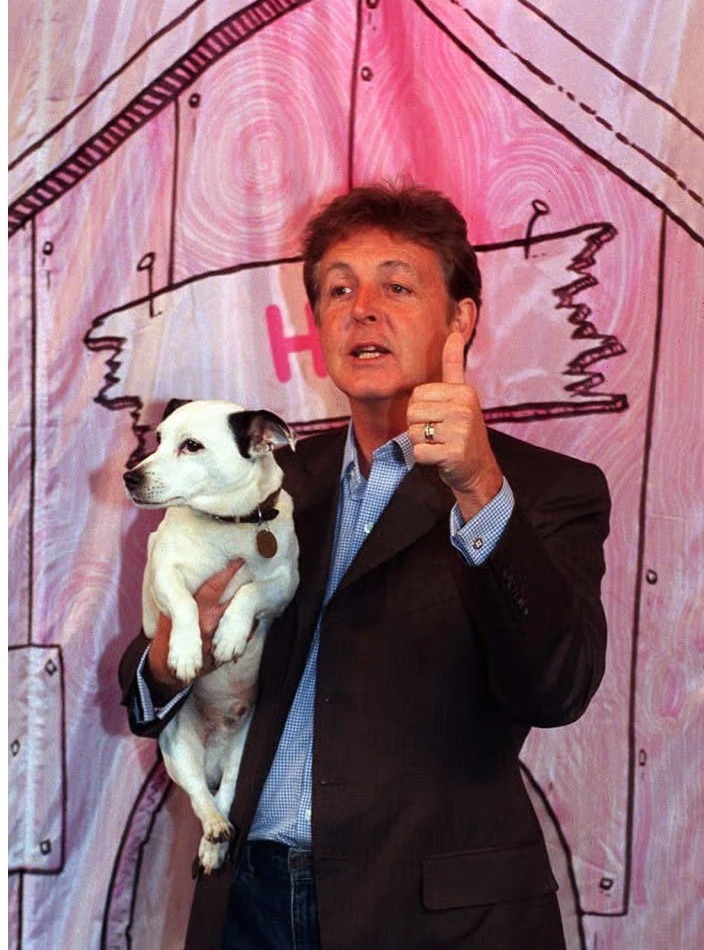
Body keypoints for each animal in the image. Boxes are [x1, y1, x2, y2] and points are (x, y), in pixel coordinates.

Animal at [124, 400, 300, 876]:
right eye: (158, 440)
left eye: (192, 446)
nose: (131, 476)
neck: (229, 523)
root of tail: (216, 755)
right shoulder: (162, 572)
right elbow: (185, 604)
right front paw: (187, 652)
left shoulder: (285, 585)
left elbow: (249, 592)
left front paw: (229, 637)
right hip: (177, 749)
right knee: (201, 797)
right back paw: (213, 831)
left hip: (245, 753)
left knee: (228, 793)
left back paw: (217, 836)